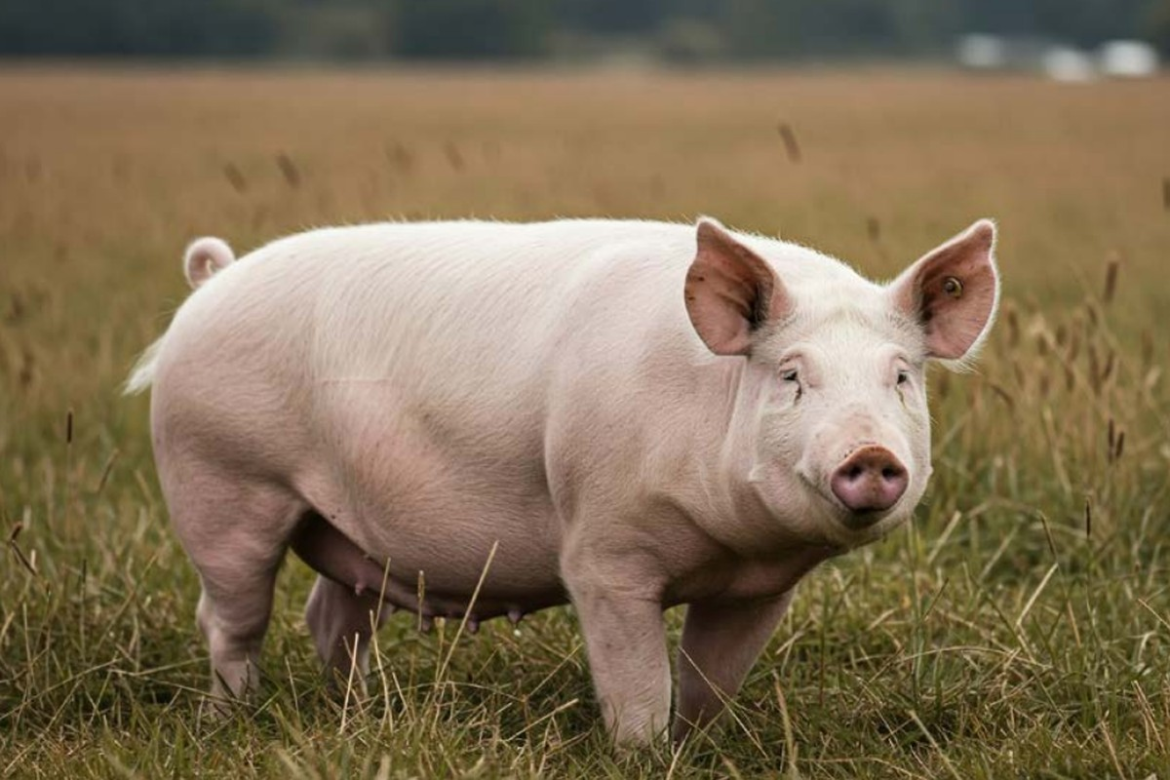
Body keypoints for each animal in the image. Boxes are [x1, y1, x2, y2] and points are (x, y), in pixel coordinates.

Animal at [125, 217, 999, 744]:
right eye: (791, 374)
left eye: (900, 378)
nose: (871, 454)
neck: (726, 544)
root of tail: (210, 286)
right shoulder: (603, 555)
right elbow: (638, 688)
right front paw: (647, 753)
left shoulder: (760, 586)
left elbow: (710, 684)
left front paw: (700, 746)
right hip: (222, 480)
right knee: (230, 617)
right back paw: (228, 721)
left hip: (341, 523)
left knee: (331, 617)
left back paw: (361, 718)